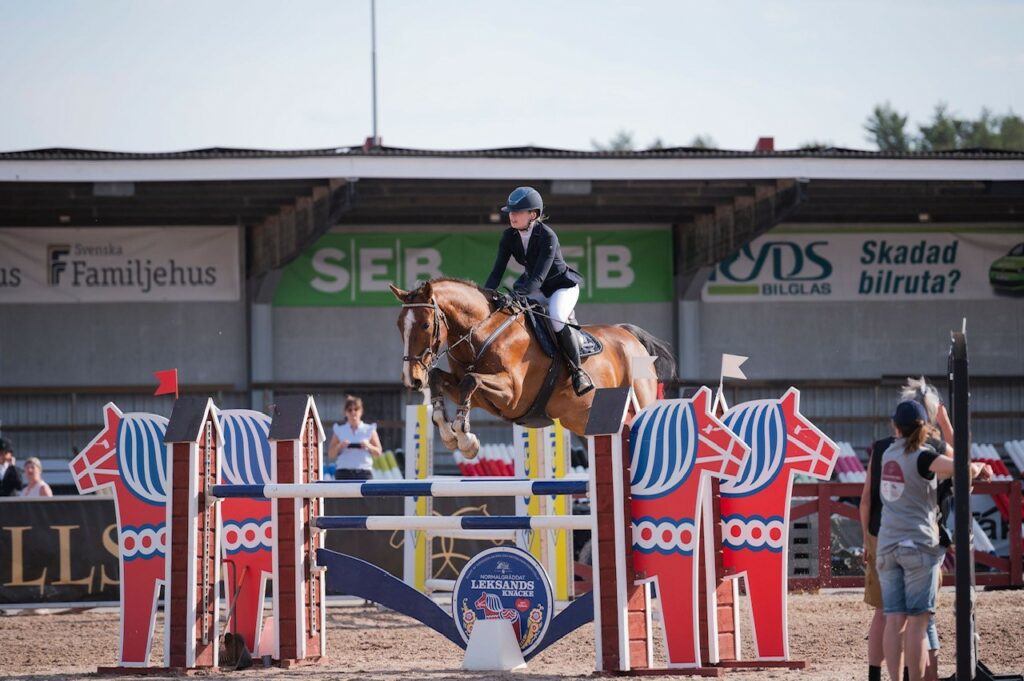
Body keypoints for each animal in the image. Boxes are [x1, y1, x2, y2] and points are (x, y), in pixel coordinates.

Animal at [387, 276, 675, 456]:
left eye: (425, 325)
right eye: (399, 325)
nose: (412, 380)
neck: (482, 332)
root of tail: (630, 337)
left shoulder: (512, 394)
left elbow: (472, 380)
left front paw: (466, 440)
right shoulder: (474, 396)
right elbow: (439, 377)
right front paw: (448, 434)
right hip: (582, 422)